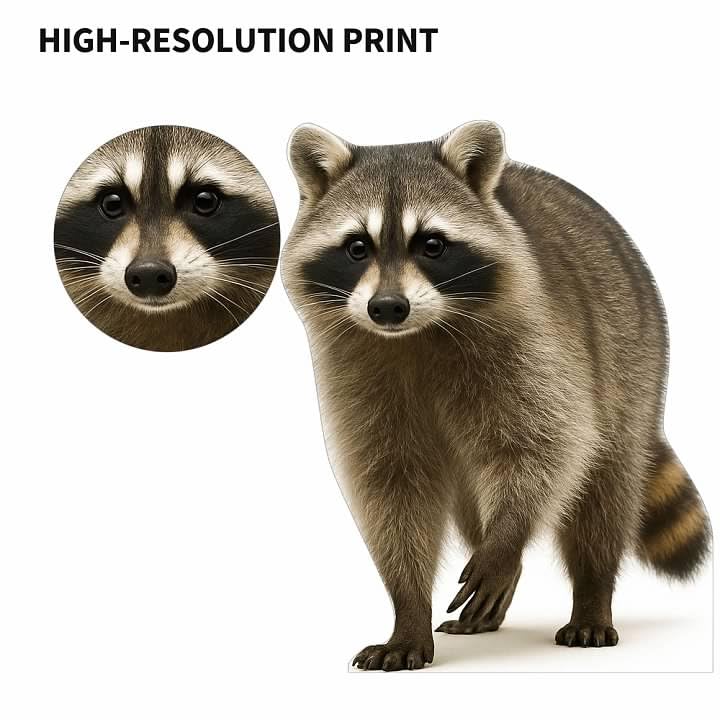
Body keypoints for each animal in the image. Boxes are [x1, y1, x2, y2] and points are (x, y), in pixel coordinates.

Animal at [281, 121, 711, 671]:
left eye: (432, 245)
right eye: (357, 247)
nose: (388, 307)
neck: (417, 334)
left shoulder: (535, 341)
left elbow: (548, 445)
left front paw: (507, 539)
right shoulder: (354, 369)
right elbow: (393, 484)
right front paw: (408, 609)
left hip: (634, 354)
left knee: (604, 489)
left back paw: (590, 592)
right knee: (472, 505)